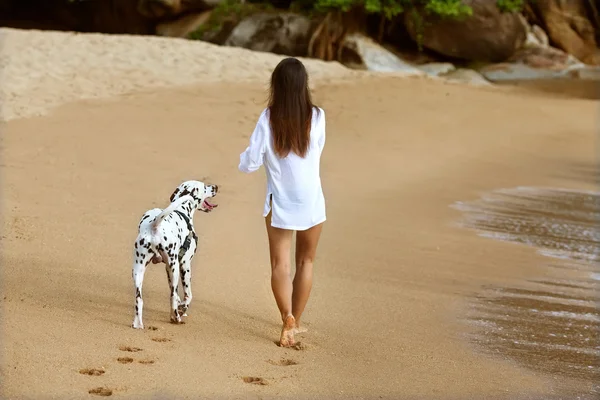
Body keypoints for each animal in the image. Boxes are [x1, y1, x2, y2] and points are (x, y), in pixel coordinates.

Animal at [130, 180, 219, 328]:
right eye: (204, 186)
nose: (216, 187)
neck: (182, 210)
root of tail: (154, 226)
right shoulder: (184, 264)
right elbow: (187, 295)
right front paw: (183, 308)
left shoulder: (168, 267)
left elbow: (177, 293)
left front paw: (181, 305)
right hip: (175, 268)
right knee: (171, 297)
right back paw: (176, 317)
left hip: (139, 270)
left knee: (139, 300)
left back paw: (138, 324)